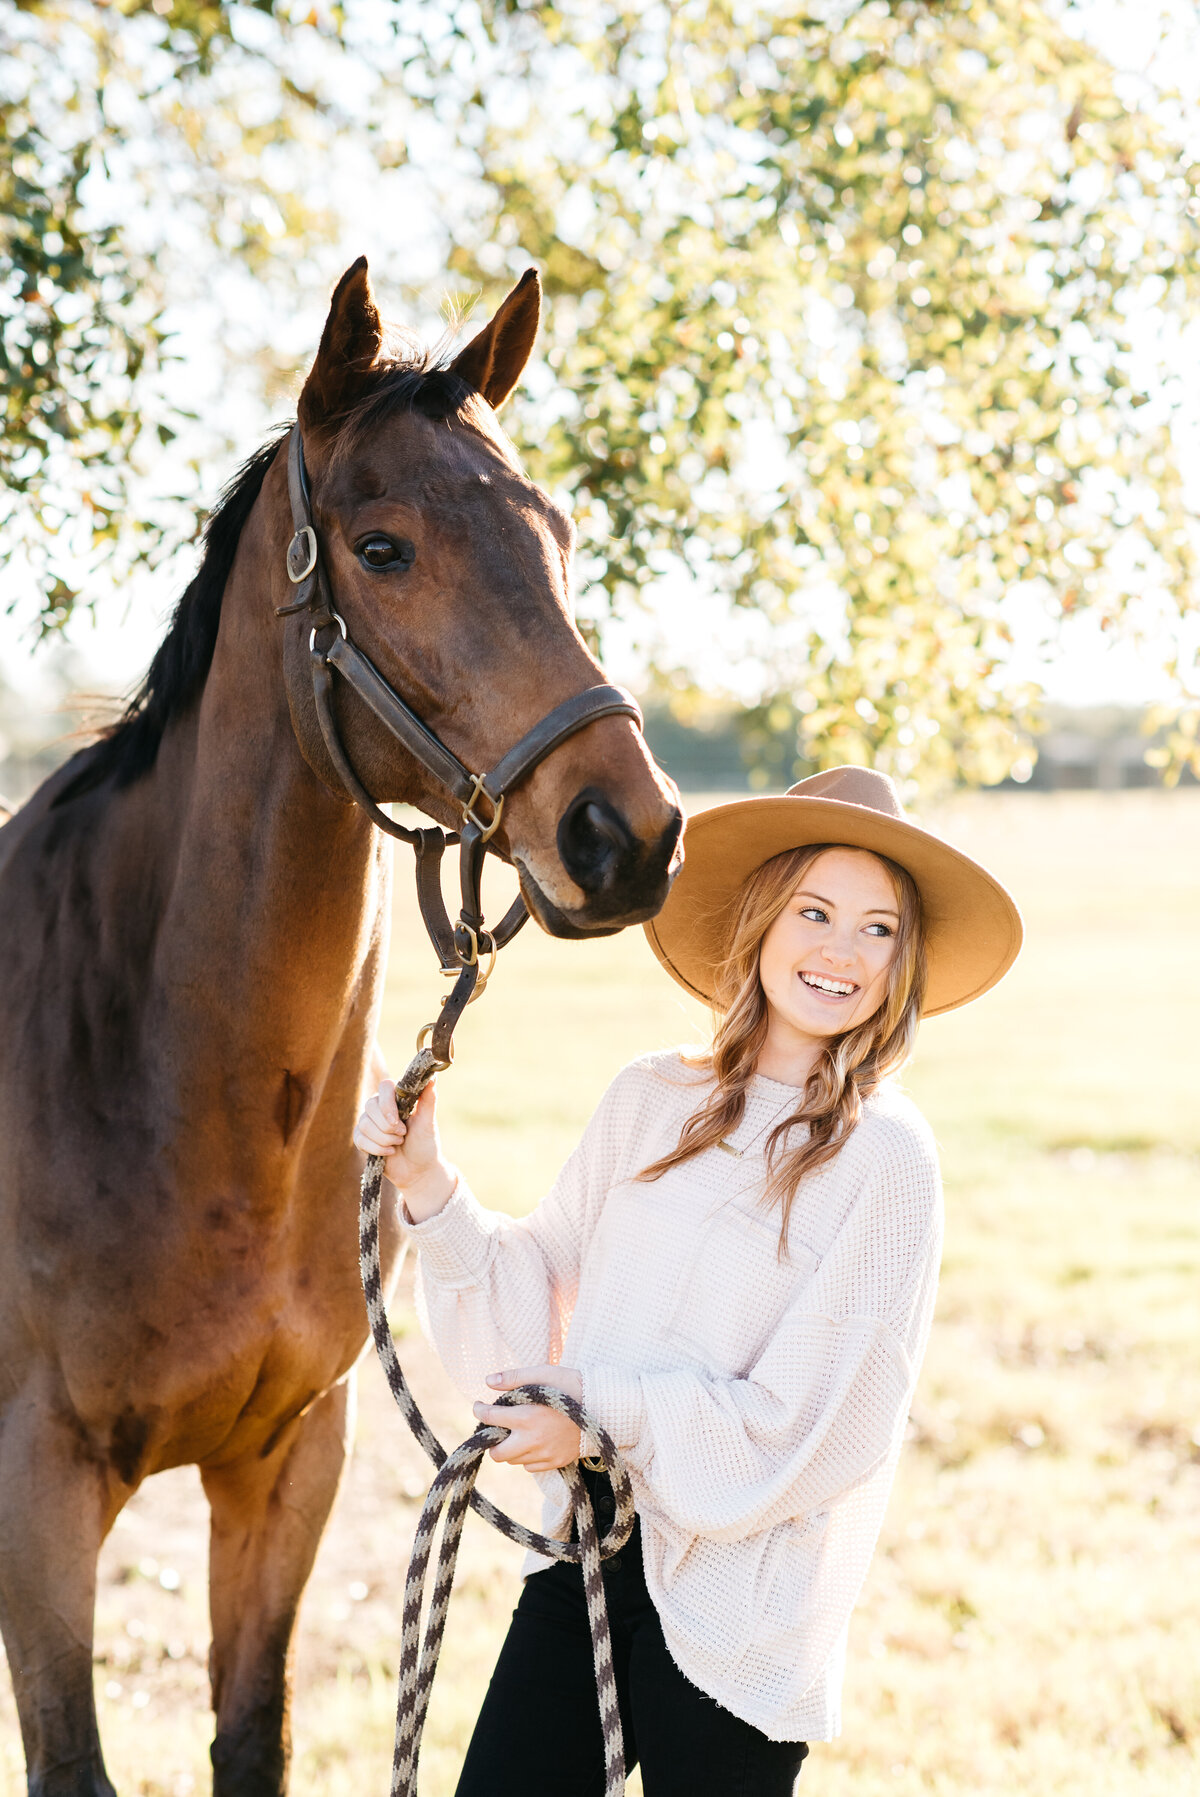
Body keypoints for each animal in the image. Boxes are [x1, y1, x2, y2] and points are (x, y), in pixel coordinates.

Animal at [0, 262, 679, 1797]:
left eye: (557, 535)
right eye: (382, 548)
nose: (628, 835)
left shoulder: (287, 1462)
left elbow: (254, 1738)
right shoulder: (38, 1486)